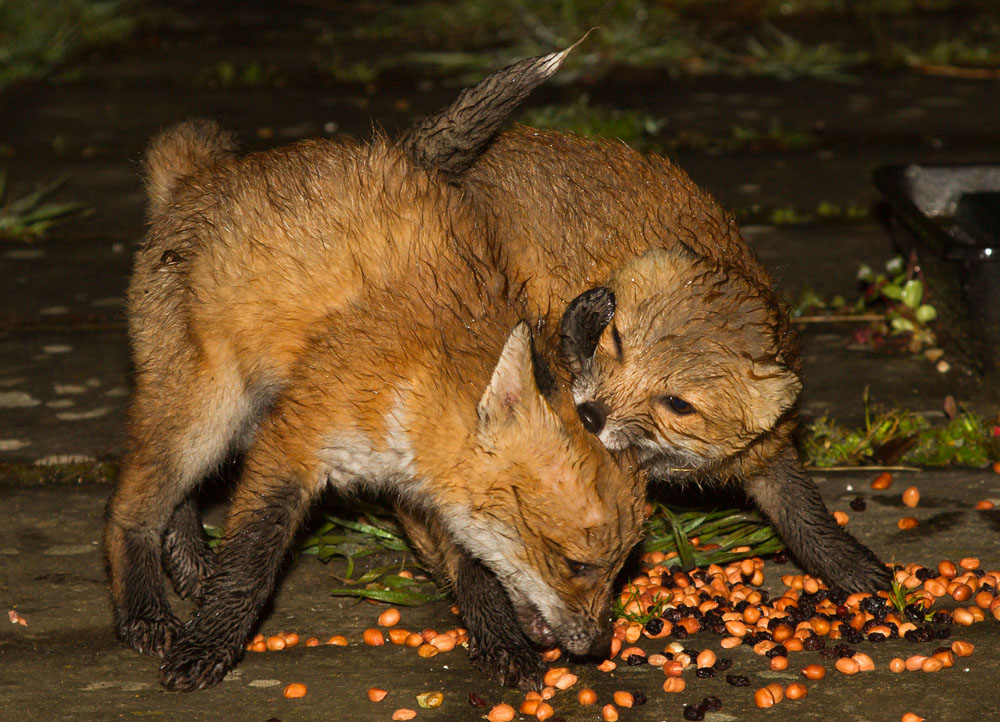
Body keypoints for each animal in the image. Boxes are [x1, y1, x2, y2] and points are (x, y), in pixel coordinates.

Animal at [104, 82, 646, 692]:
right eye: (577, 564)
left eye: (622, 566)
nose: (599, 646)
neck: (415, 377)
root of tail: (196, 179)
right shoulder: (293, 441)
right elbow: (248, 563)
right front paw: (209, 644)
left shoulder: (435, 487)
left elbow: (476, 571)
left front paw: (500, 644)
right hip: (210, 413)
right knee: (129, 509)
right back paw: (145, 612)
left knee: (174, 498)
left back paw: (191, 564)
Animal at [398, 48, 890, 594]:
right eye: (614, 342)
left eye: (677, 404)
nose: (591, 416)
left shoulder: (765, 451)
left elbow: (805, 517)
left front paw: (858, 572)